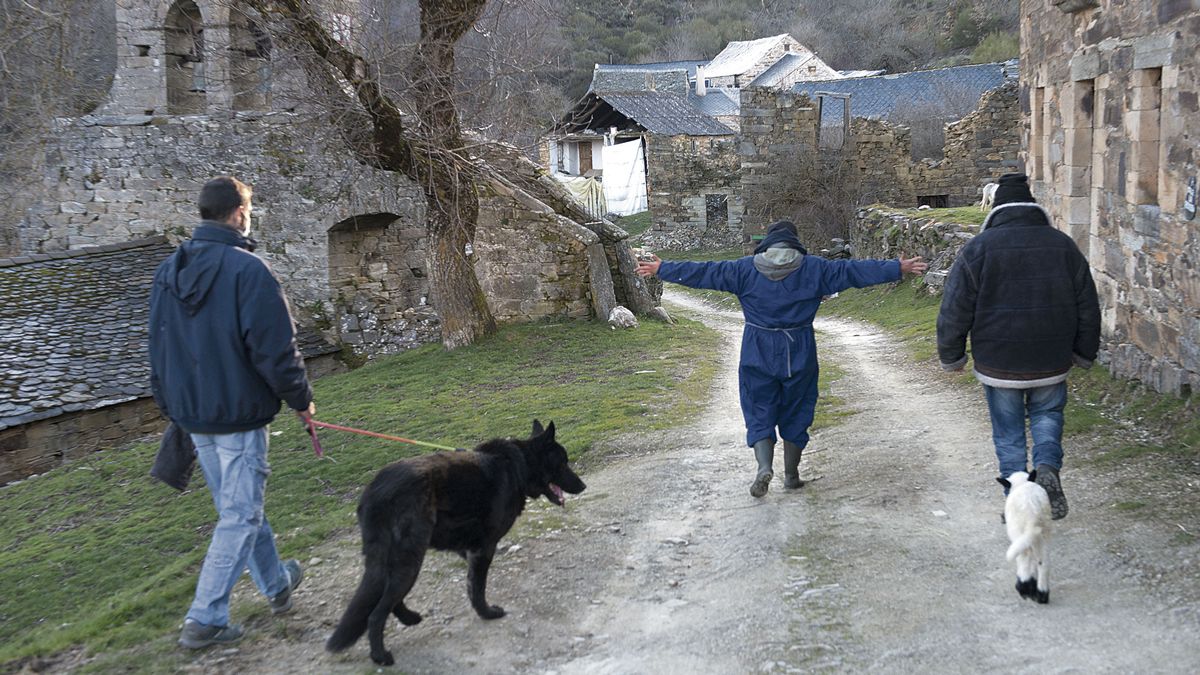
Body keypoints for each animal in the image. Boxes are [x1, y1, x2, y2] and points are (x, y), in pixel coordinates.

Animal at [324, 417, 585, 662]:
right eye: (563, 462)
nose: (583, 486)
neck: (520, 465)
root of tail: (376, 492)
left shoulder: (470, 550)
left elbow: (471, 584)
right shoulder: (483, 549)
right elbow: (477, 588)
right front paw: (487, 613)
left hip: (396, 561)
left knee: (386, 597)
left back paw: (409, 618)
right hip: (409, 560)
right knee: (377, 613)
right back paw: (381, 656)